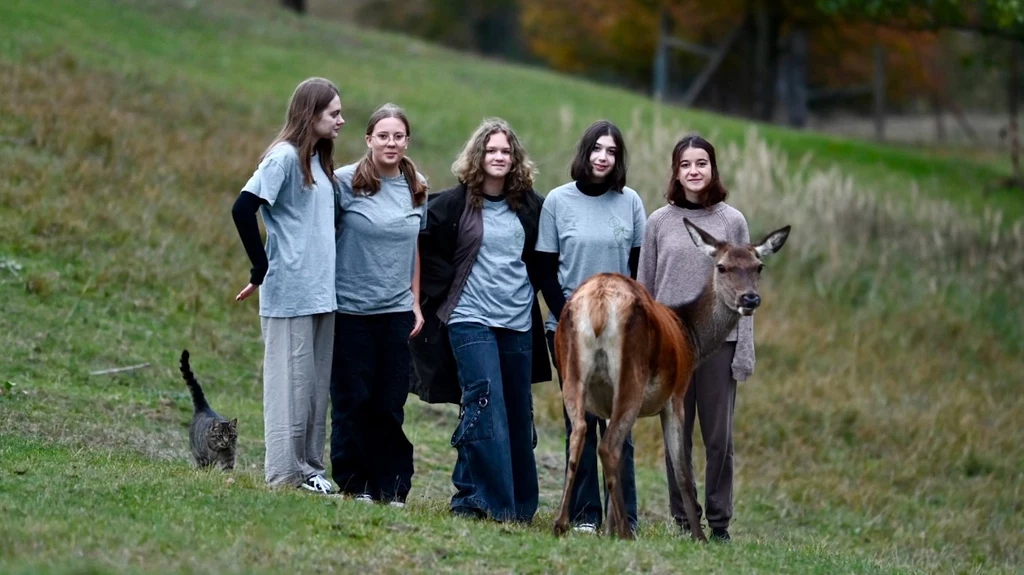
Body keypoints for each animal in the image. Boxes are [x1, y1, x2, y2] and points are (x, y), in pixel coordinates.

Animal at [557, 216, 786, 540]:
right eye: (722, 266)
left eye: (759, 266)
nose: (750, 298)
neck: (691, 337)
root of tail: (599, 303)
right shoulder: (675, 395)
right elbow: (682, 471)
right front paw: (699, 537)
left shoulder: (606, 401)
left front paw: (608, 531)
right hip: (632, 375)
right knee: (608, 447)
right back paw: (626, 533)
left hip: (571, 374)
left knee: (579, 433)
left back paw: (561, 523)